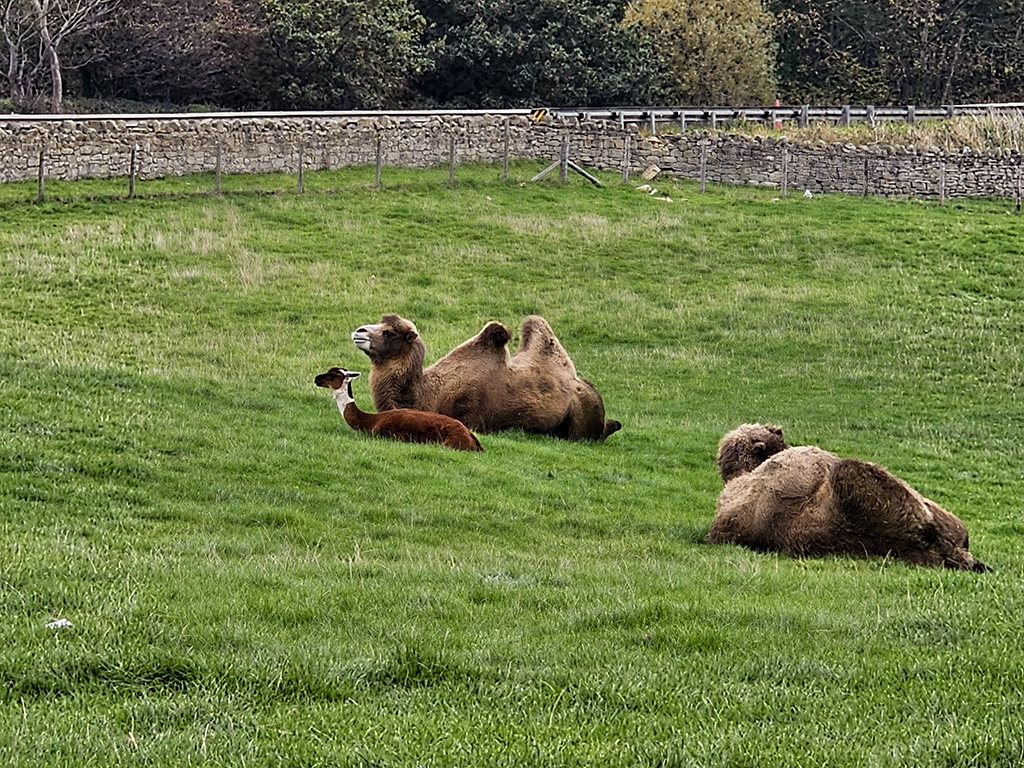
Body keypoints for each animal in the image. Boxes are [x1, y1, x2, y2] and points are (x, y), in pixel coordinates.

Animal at [315, 367, 483, 451]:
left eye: (332, 375)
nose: (316, 378)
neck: (371, 421)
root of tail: (471, 436)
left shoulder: (387, 433)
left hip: (450, 442)